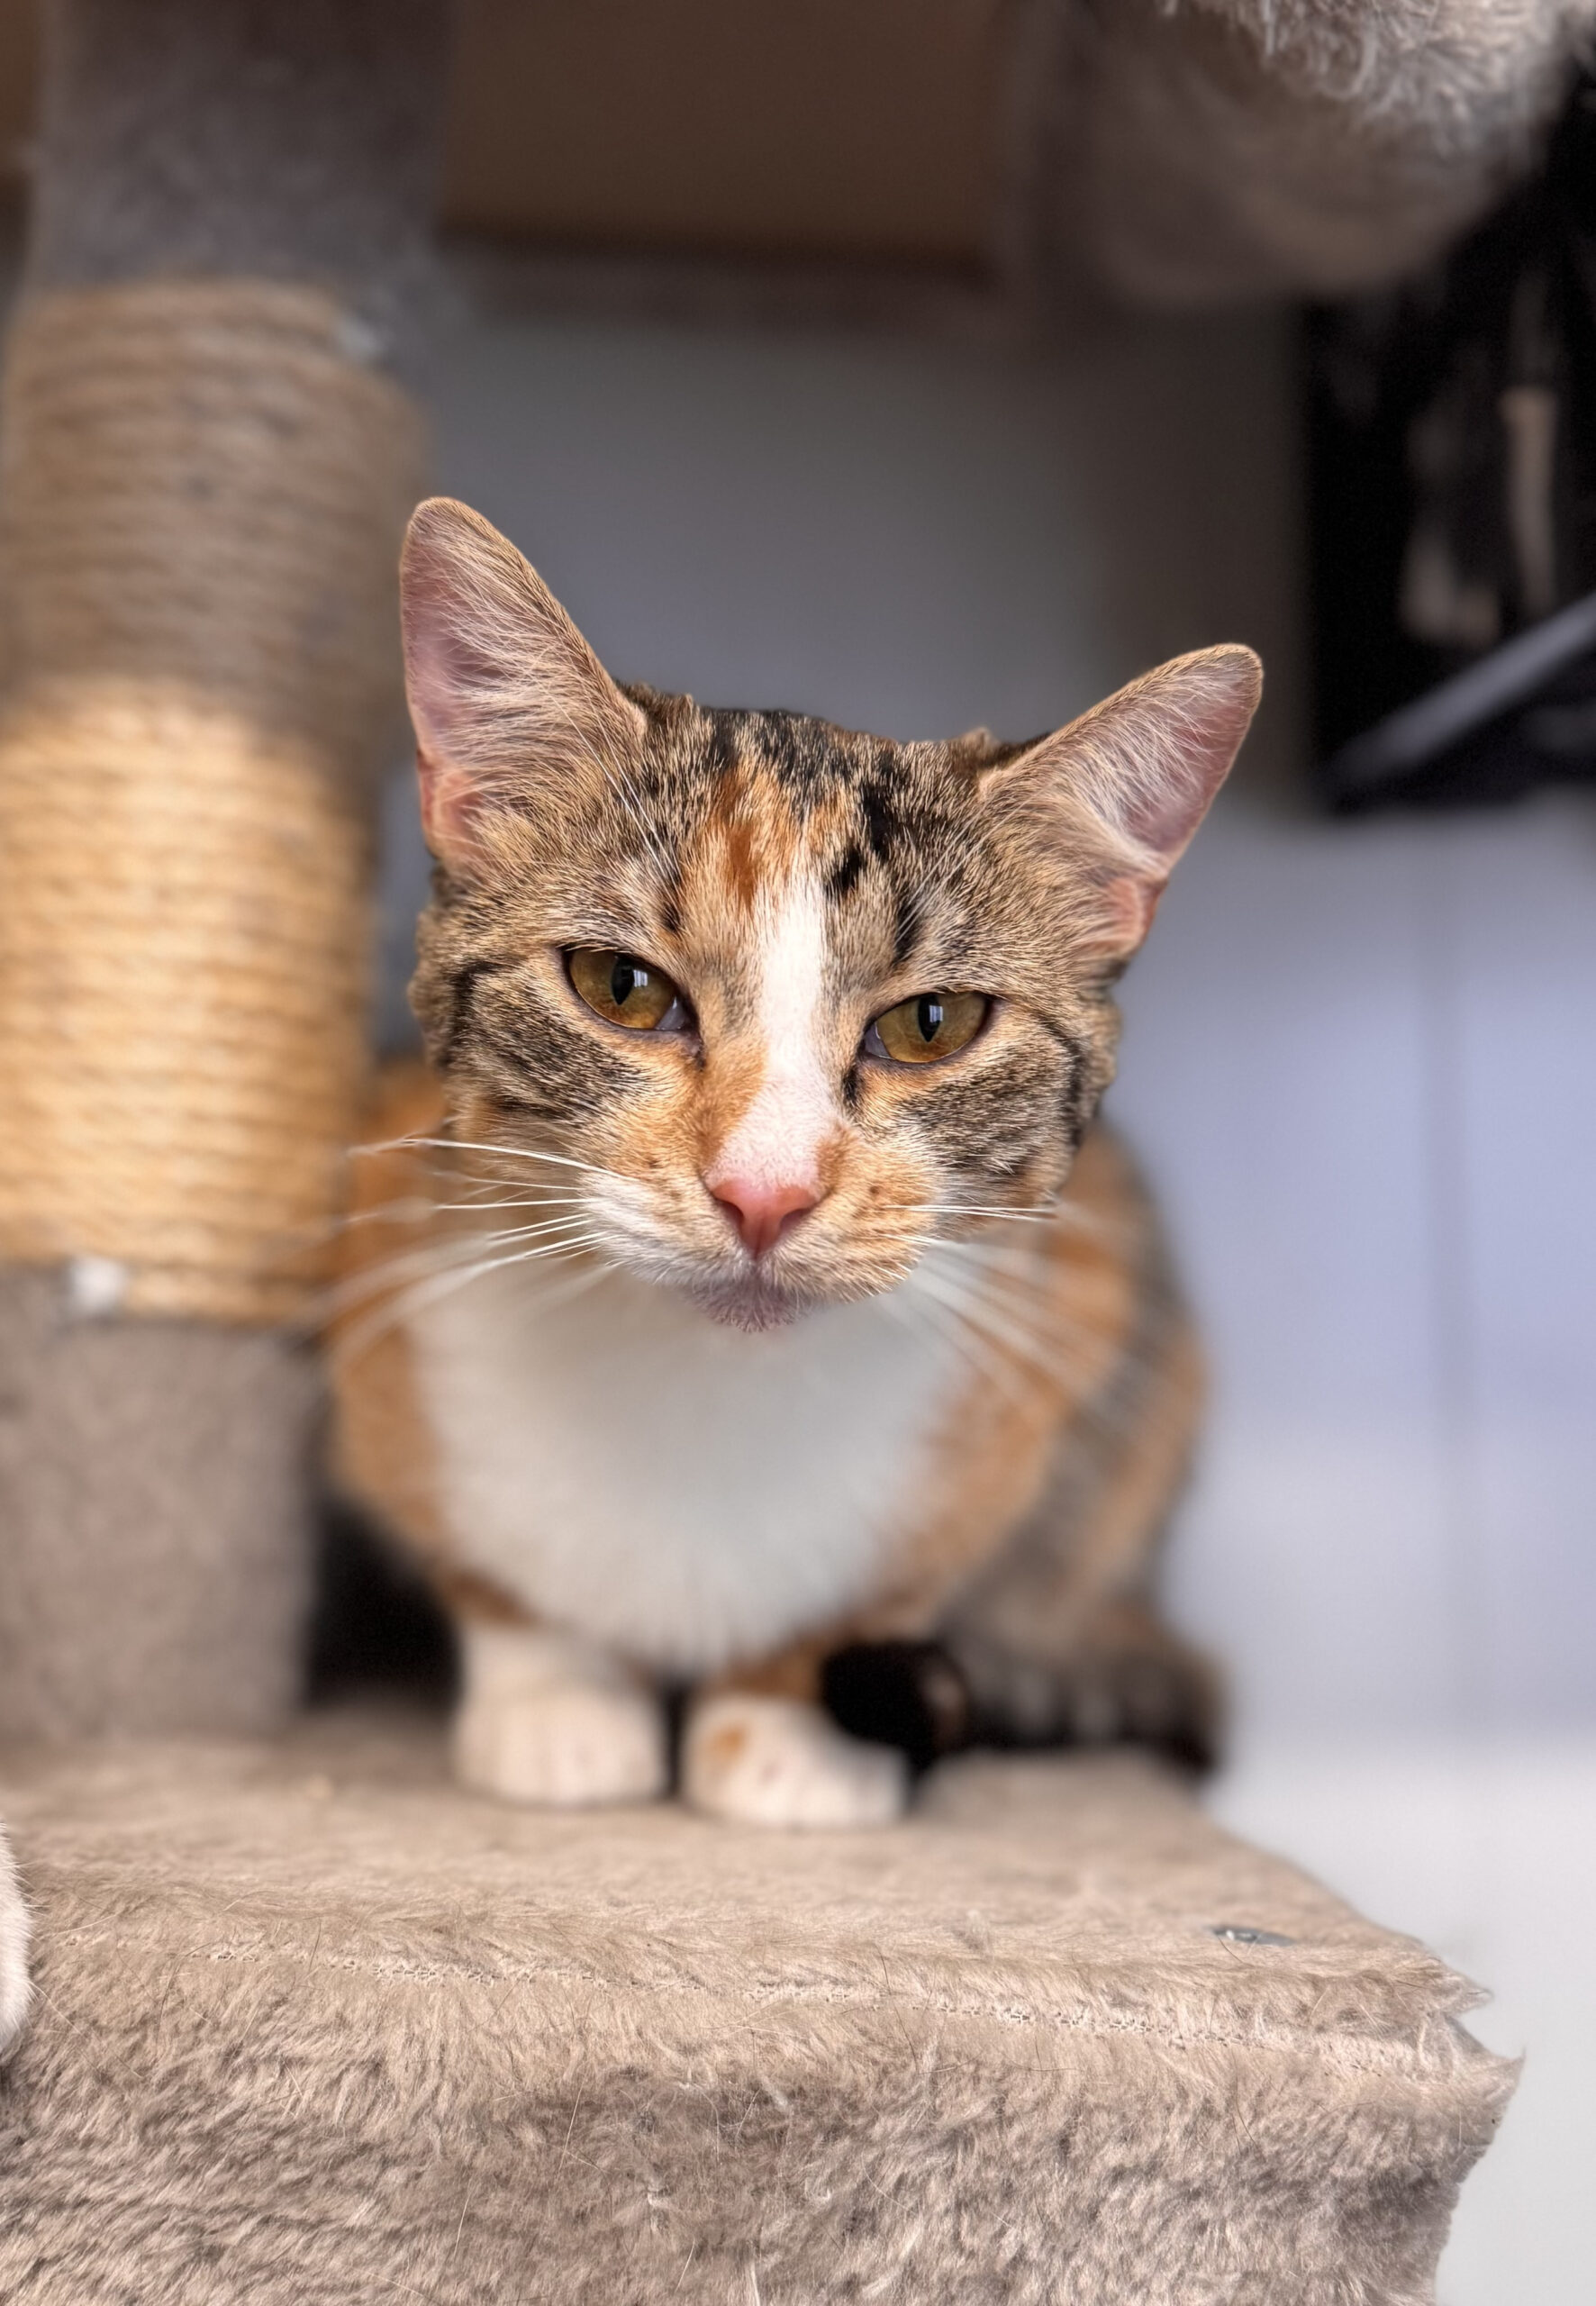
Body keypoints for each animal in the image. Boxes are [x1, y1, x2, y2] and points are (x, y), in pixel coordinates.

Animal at [329, 496, 1261, 1829]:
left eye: (933, 1024)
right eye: (620, 986)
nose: (762, 1190)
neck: (702, 1395)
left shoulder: (1068, 1321)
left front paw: (784, 1728)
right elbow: (491, 1569)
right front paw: (555, 1699)